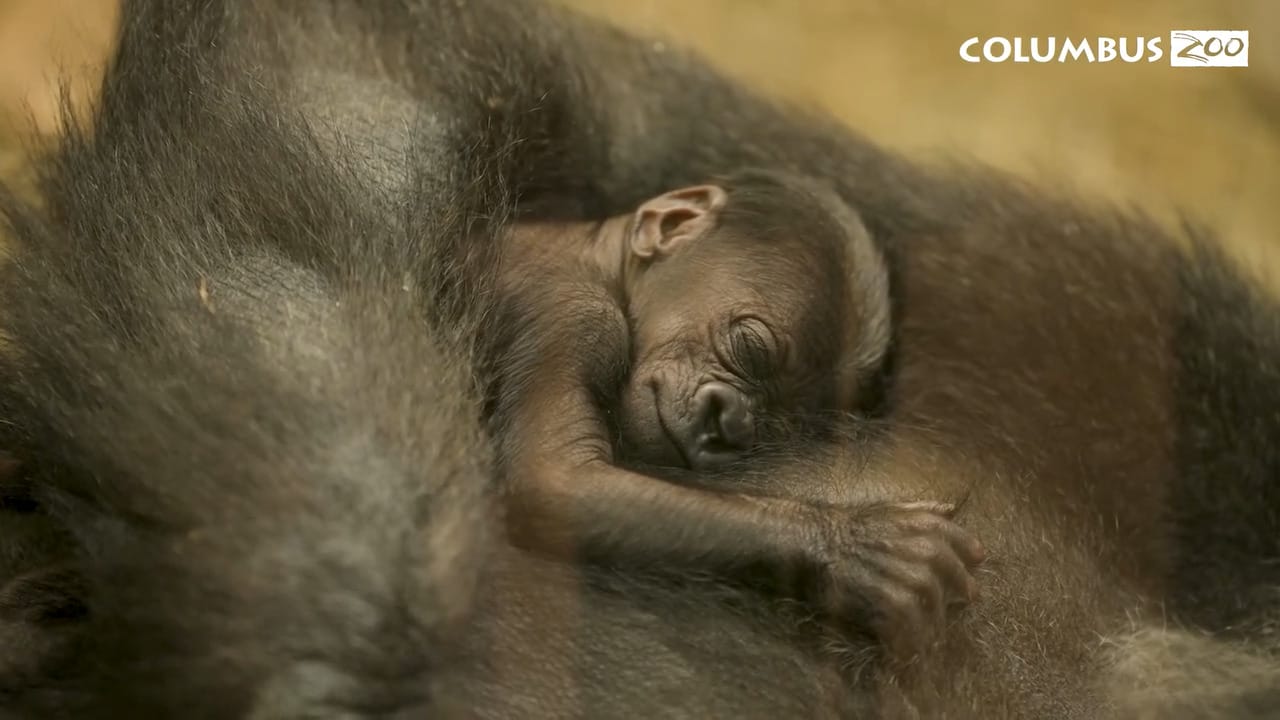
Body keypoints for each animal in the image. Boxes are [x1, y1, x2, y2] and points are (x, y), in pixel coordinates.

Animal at [490, 169, 980, 661]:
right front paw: (849, 547)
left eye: (773, 426)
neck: (599, 260)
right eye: (751, 349)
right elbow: (556, 479)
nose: (728, 423)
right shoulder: (580, 316)